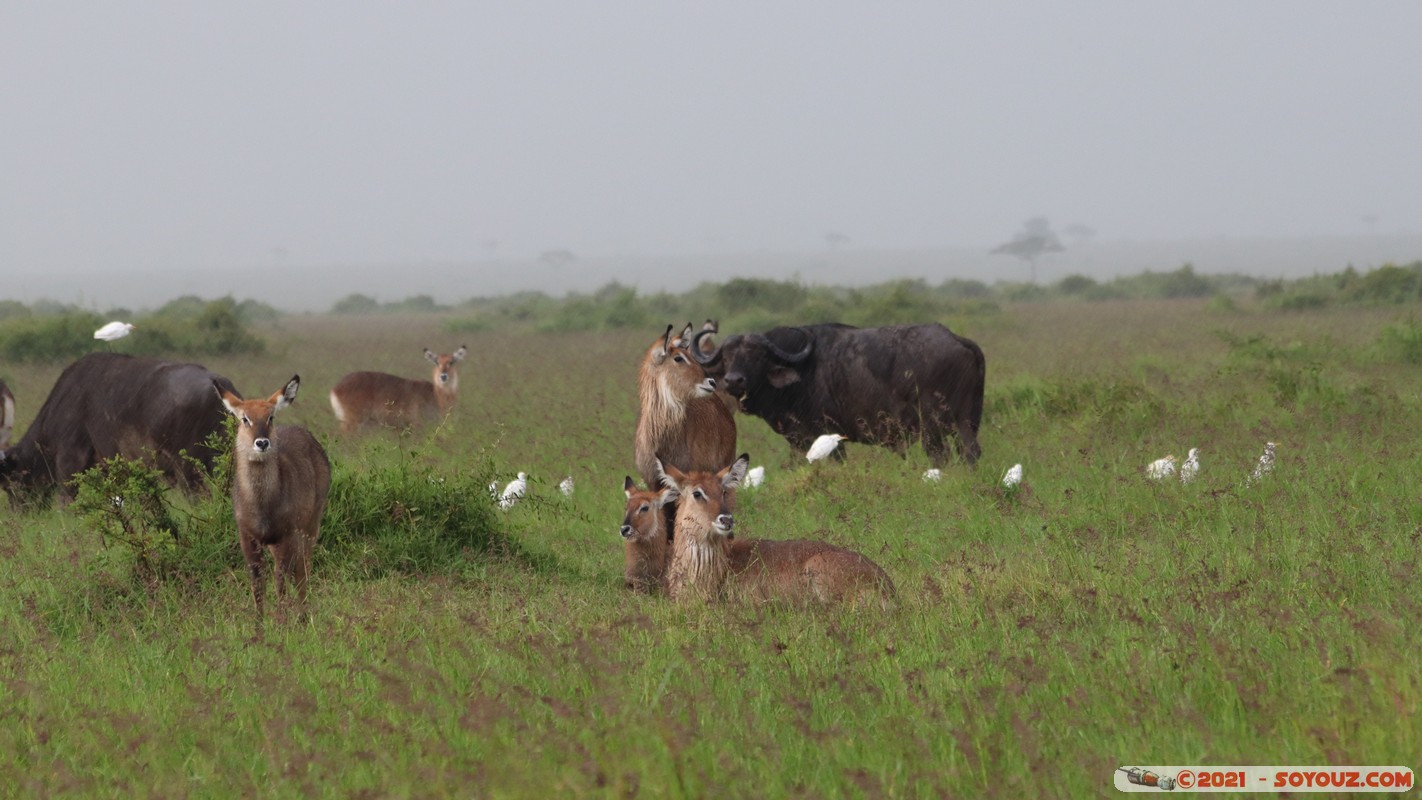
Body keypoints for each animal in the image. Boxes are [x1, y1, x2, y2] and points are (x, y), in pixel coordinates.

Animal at [0, 352, 236, 503]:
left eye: (11, 484)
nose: (19, 512)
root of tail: (220, 386)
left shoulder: (69, 460)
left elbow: (67, 499)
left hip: (189, 470)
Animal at [691, 322, 984, 466]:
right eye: (727, 357)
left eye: (757, 356)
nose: (733, 380)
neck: (801, 369)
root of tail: (957, 339)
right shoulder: (800, 441)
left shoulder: (823, 435)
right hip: (966, 422)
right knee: (970, 452)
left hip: (933, 426)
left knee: (943, 454)